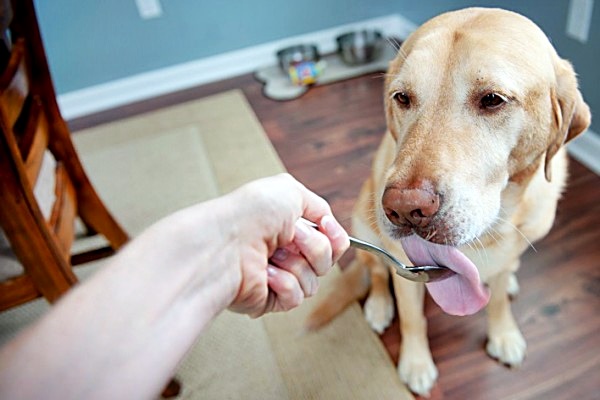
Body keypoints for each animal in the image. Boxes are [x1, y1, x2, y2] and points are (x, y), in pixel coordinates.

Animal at [310, 7, 592, 396]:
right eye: (402, 97)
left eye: (492, 99)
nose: (404, 208)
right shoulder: (403, 267)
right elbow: (412, 318)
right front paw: (416, 365)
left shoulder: (507, 253)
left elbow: (498, 300)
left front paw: (503, 334)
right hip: (361, 222)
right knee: (375, 271)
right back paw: (379, 306)